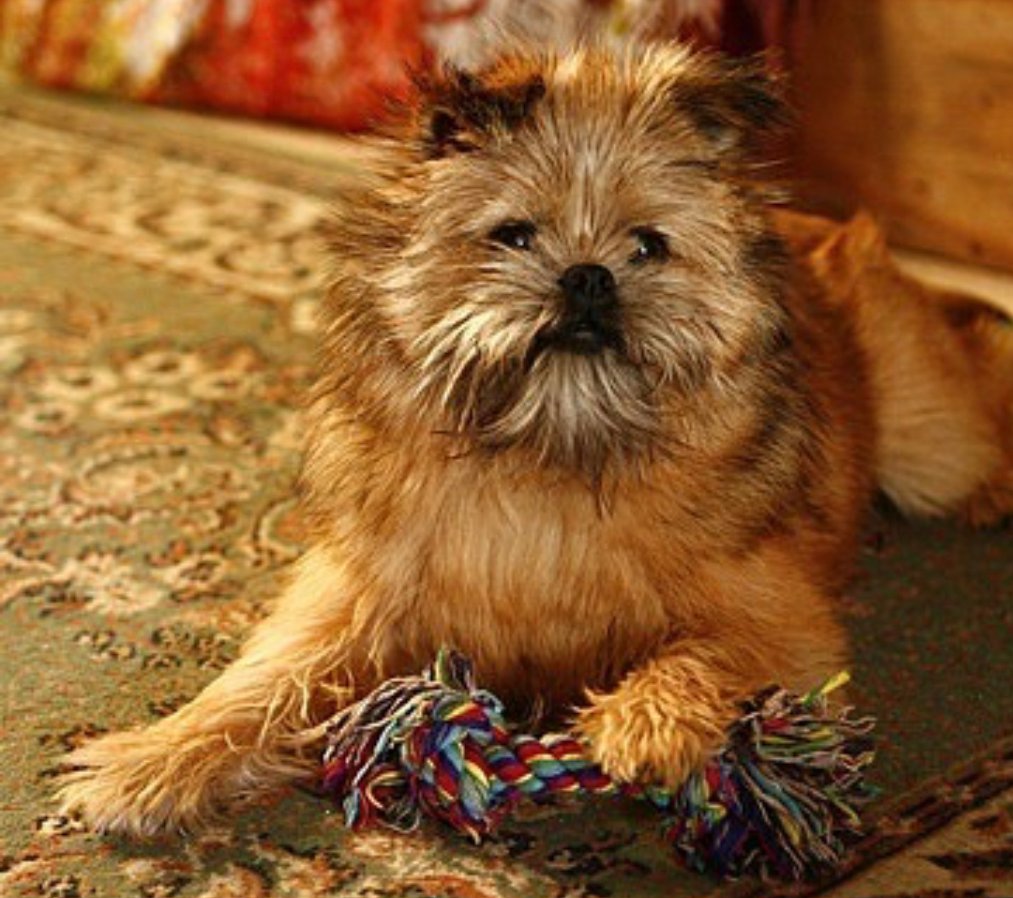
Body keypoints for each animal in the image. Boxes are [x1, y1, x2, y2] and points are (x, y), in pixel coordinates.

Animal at [57, 42, 1013, 839]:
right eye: (512, 235)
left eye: (648, 246)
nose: (586, 276)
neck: (548, 448)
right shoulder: (352, 599)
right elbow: (258, 686)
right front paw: (154, 762)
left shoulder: (783, 625)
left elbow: (705, 650)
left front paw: (645, 721)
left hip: (926, 442)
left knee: (978, 387)